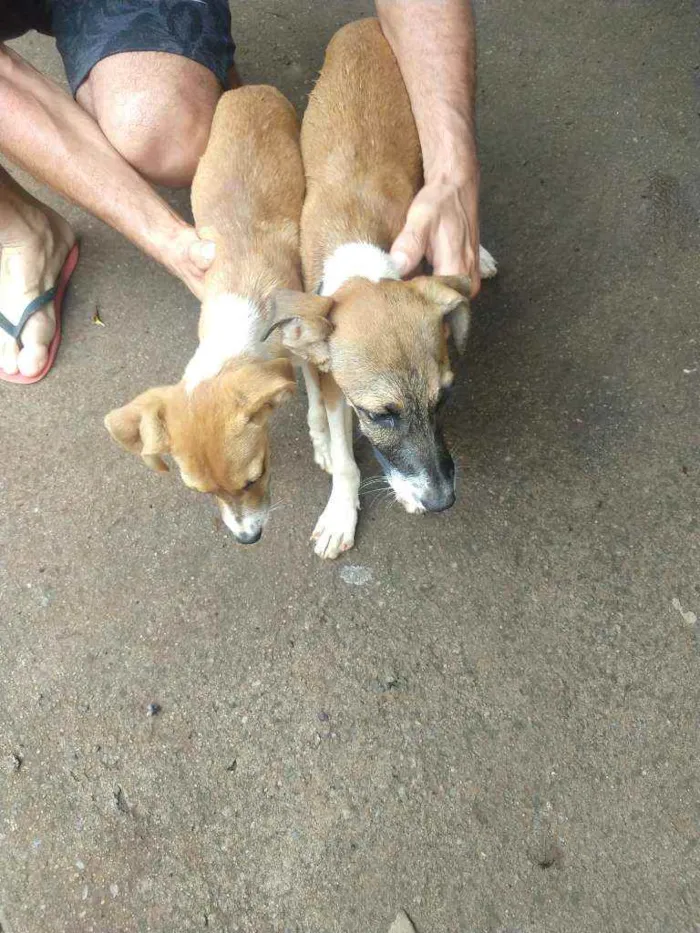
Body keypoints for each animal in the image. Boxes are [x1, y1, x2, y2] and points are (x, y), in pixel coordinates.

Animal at [268, 21, 498, 556]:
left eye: (445, 398)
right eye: (381, 415)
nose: (441, 502)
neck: (361, 259)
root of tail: (365, 23)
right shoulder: (337, 385)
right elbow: (344, 453)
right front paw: (340, 511)